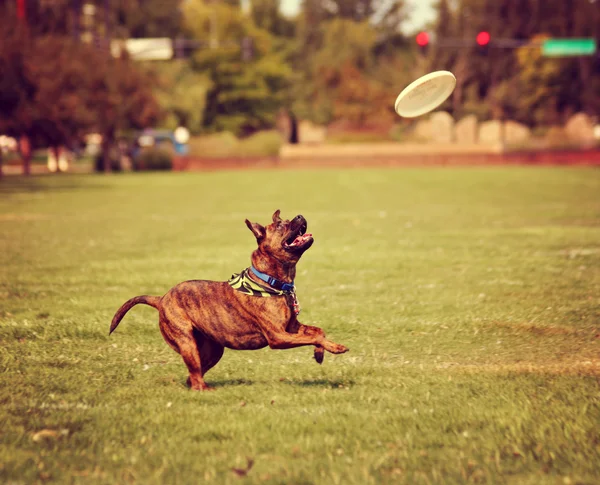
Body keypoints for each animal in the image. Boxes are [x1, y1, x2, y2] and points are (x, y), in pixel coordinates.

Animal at [110, 209, 350, 390]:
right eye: (281, 226)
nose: (300, 215)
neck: (271, 281)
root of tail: (160, 299)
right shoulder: (278, 337)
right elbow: (315, 336)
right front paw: (336, 348)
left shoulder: (292, 327)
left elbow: (318, 331)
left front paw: (320, 353)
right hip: (187, 342)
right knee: (195, 379)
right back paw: (207, 391)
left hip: (211, 350)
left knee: (192, 377)